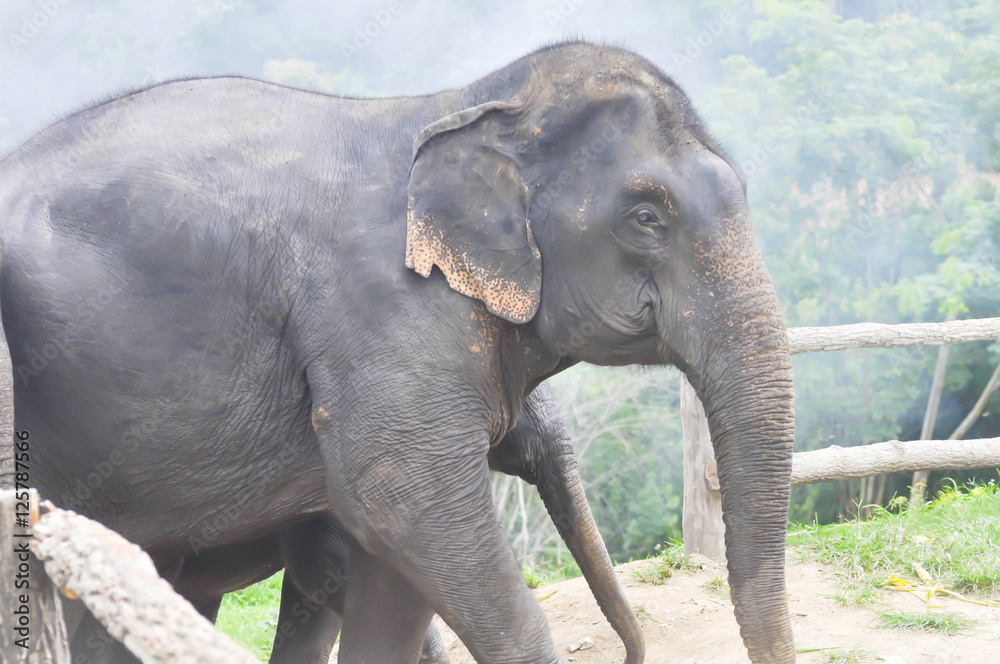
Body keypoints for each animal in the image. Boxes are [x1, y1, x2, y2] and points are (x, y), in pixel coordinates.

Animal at [0, 40, 796, 663]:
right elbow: (400, 498)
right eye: (646, 216)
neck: (462, 105)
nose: (634, 653)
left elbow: (393, 572)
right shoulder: (380, 312)